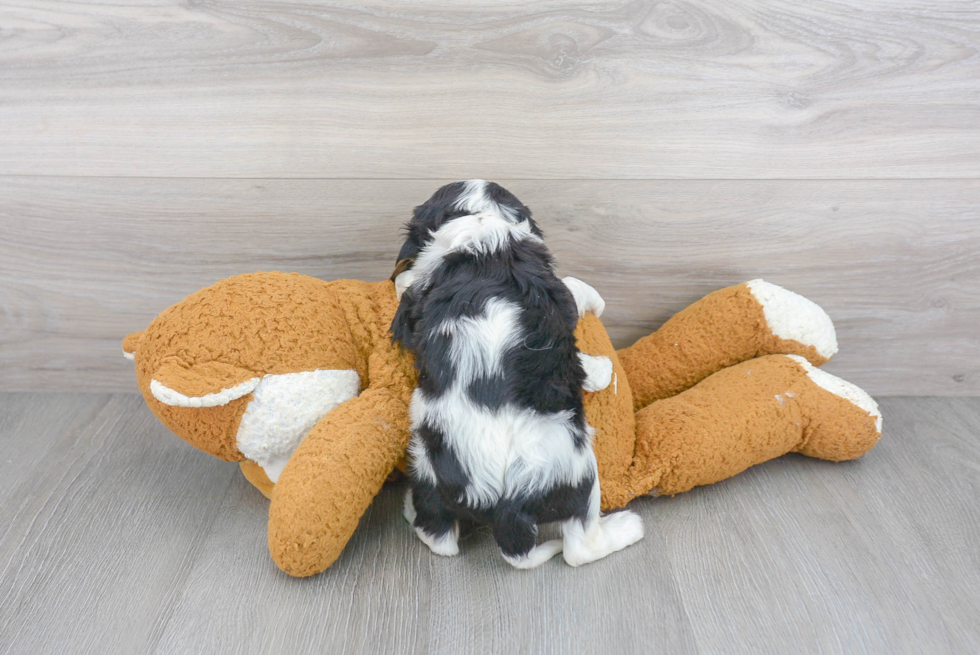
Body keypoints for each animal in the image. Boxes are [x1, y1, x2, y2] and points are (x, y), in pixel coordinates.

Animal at [390, 179, 644, 568]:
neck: (477, 222)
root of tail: (500, 506)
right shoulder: (556, 300)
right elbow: (575, 290)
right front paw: (601, 365)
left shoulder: (417, 298)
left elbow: (407, 285)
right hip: (577, 474)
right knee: (579, 547)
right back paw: (628, 527)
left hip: (428, 473)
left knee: (437, 537)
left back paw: (409, 509)